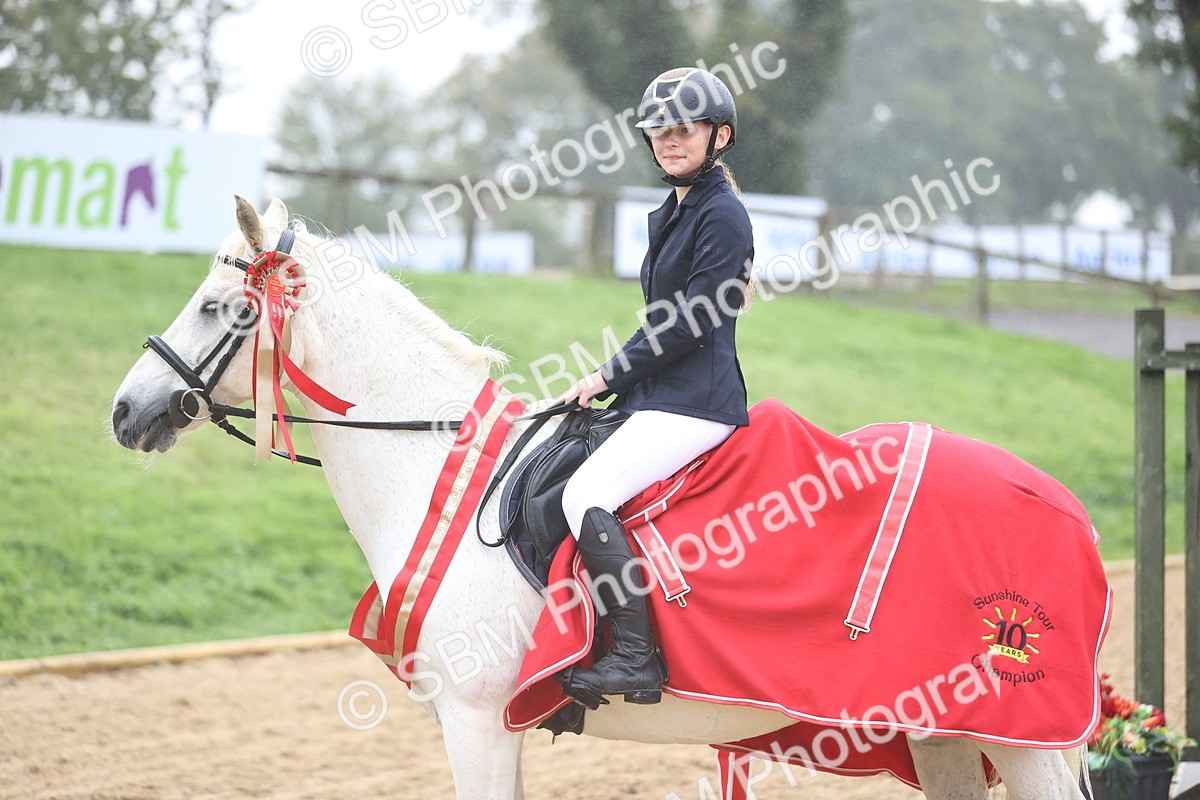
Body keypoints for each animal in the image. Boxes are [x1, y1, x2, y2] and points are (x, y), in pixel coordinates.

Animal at [112, 196, 1098, 800]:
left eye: (217, 306)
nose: (127, 410)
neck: (440, 469)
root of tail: (1070, 508)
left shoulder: (477, 720)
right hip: (942, 735)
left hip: (1027, 745)